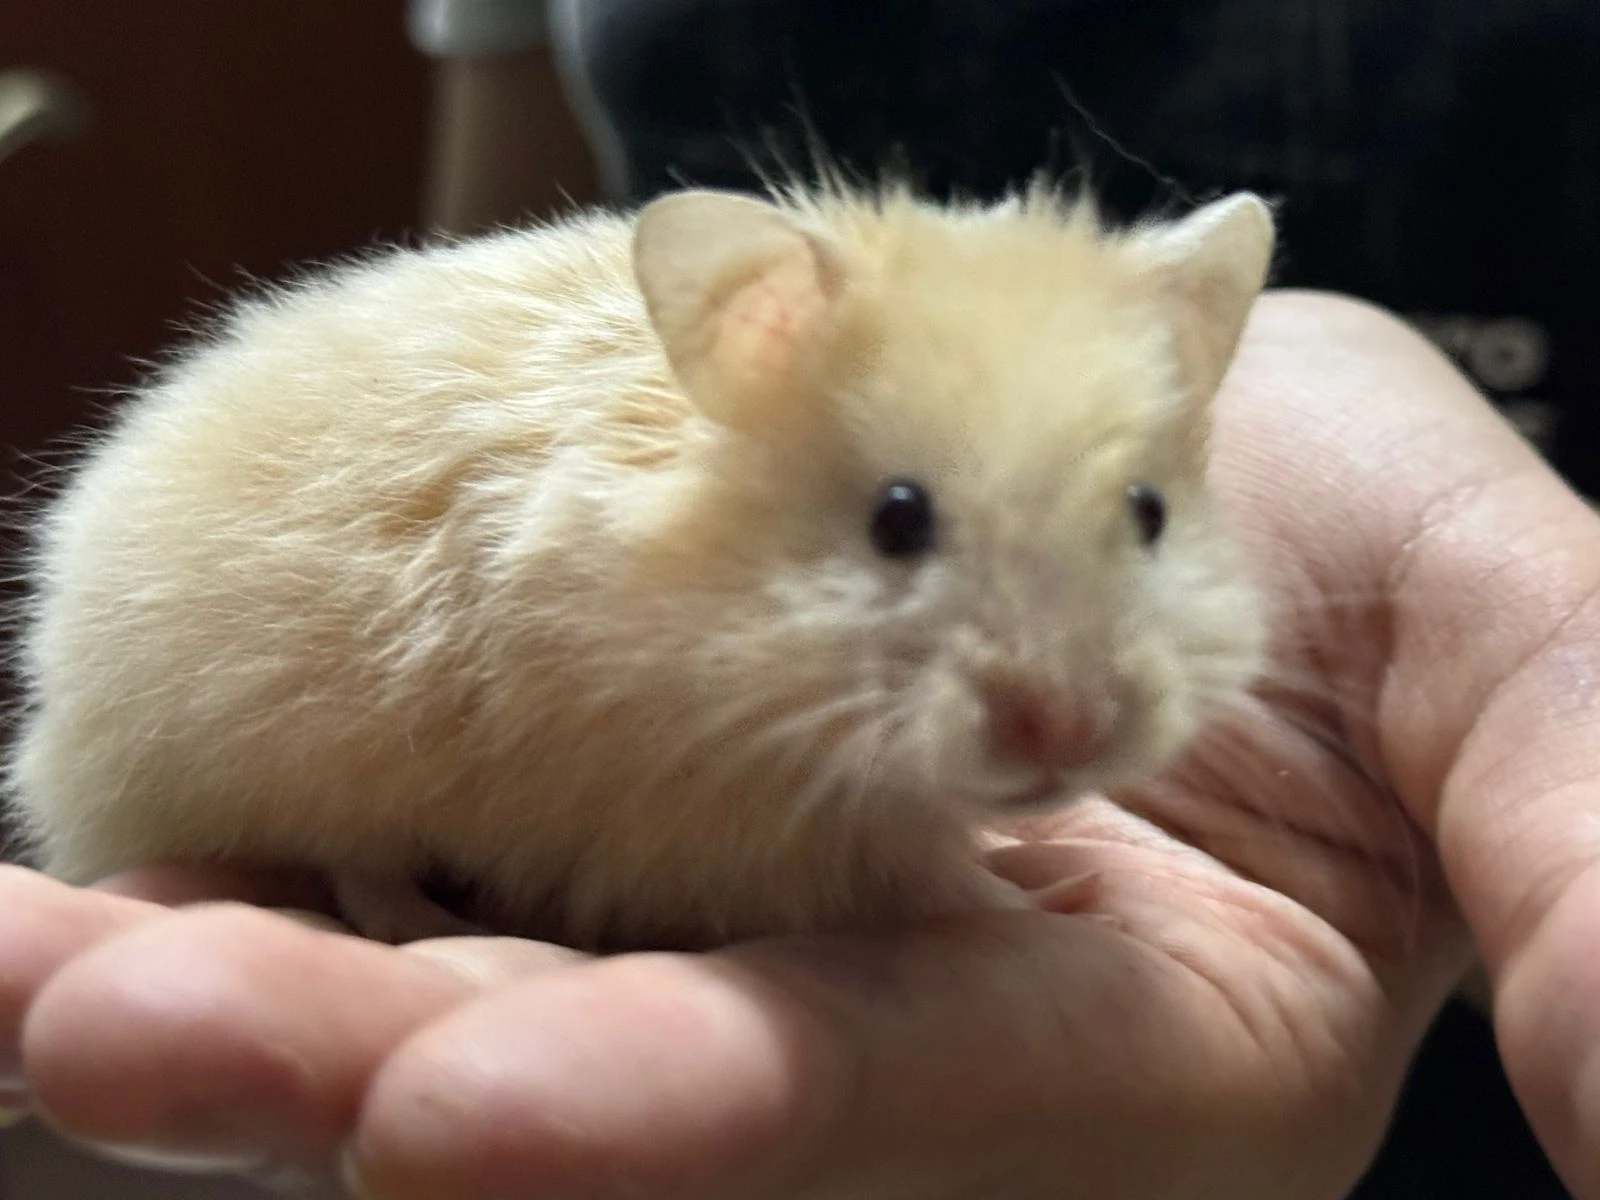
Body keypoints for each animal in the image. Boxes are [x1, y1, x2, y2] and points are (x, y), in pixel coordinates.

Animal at [0, 178, 1273, 953]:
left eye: (1149, 512)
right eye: (898, 519)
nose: (1068, 731)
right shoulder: (734, 832)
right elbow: (936, 884)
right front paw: (1060, 901)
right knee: (354, 865)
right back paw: (438, 923)